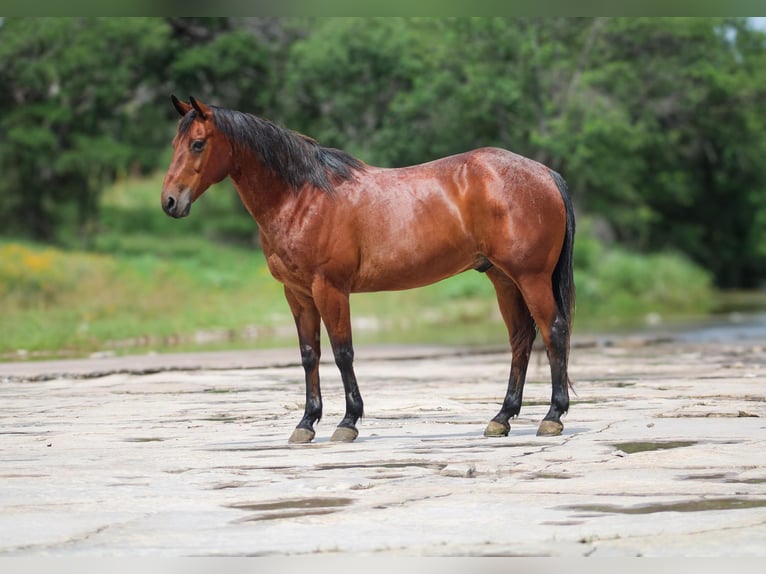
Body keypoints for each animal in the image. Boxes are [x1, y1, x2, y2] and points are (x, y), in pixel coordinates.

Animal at [161, 95, 576, 444]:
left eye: (198, 143)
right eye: (174, 145)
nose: (169, 201)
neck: (302, 197)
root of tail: (545, 173)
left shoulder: (330, 288)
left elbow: (343, 352)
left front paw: (347, 422)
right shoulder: (297, 294)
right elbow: (309, 354)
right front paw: (306, 423)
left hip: (530, 277)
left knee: (553, 330)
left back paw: (552, 416)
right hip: (503, 279)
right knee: (521, 338)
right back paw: (502, 418)